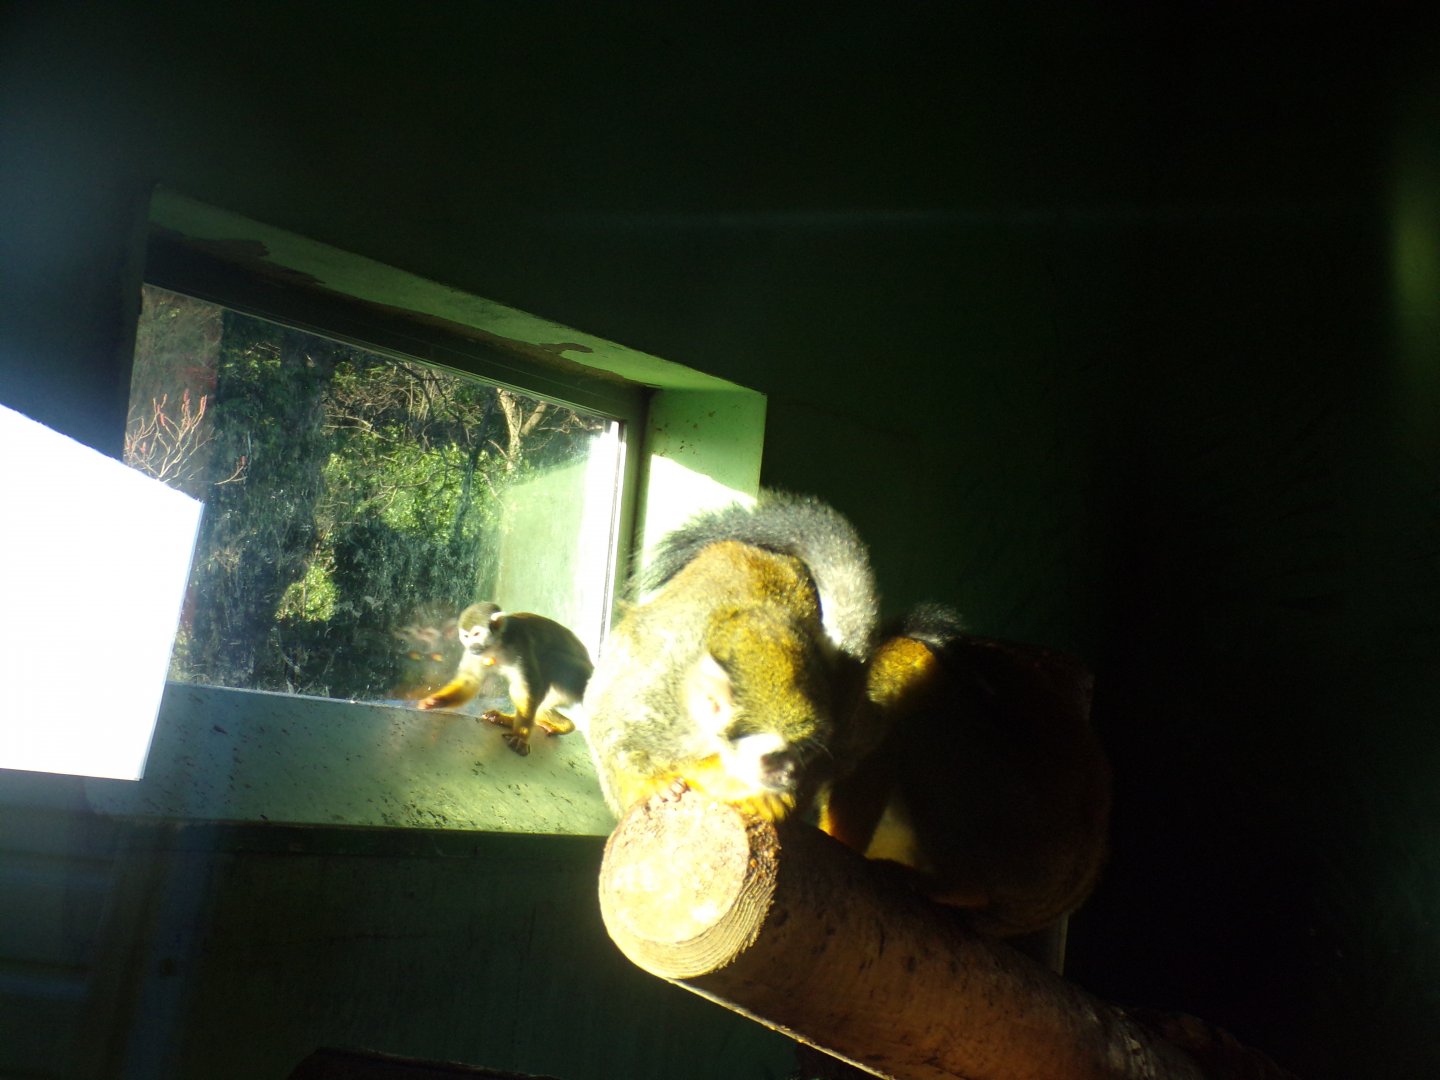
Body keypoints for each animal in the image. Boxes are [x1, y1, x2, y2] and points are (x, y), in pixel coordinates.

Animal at [419, 602, 593, 756]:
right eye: (466, 636)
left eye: (477, 634)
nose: (472, 646)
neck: (495, 646)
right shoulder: (473, 654)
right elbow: (470, 681)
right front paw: (436, 701)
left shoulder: (519, 646)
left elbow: (527, 688)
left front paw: (521, 735)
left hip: (576, 681)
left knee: (550, 661)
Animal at [583, 492, 1112, 938]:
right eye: (775, 757)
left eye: (801, 757)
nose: (790, 777)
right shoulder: (658, 703)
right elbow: (607, 720)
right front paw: (649, 790)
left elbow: (871, 745)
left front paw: (817, 829)